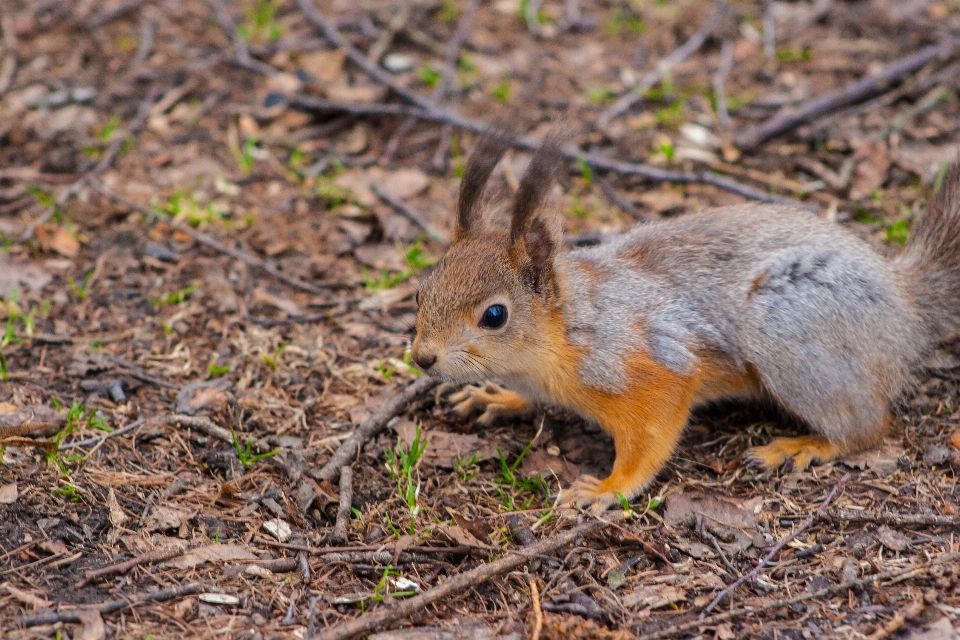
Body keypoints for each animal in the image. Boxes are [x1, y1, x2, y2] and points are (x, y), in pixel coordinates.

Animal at [408, 131, 960, 516]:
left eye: (494, 315)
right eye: (422, 288)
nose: (422, 358)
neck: (563, 331)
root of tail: (902, 302)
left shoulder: (649, 367)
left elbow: (650, 439)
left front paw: (608, 488)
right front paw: (496, 397)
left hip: (787, 328)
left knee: (868, 425)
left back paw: (803, 446)